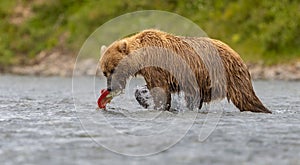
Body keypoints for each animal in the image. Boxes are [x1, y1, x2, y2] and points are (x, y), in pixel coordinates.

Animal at [99, 29, 272, 113]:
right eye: (104, 72)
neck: (142, 57)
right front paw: (144, 97)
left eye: (113, 69)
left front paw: (159, 106)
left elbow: (160, 90)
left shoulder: (157, 66)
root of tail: (237, 54)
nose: (109, 88)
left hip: (228, 75)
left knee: (245, 97)